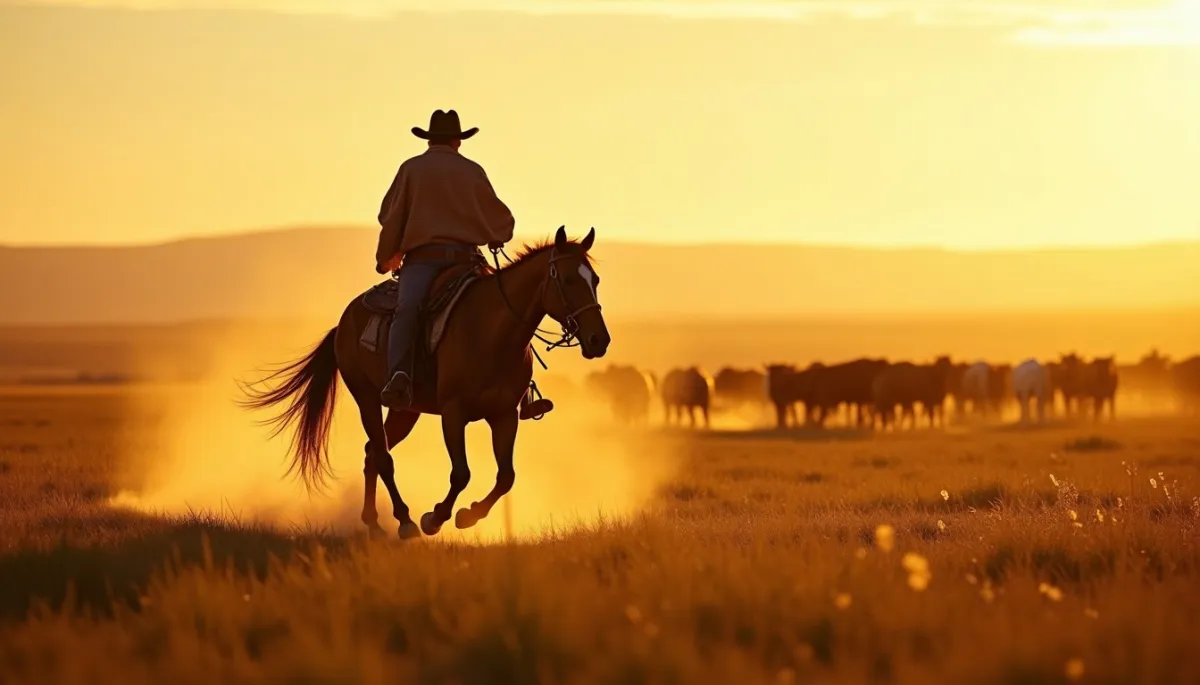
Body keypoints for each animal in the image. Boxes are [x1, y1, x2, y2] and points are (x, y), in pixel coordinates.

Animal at [239, 227, 610, 539]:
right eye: (567, 279)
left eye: (595, 279)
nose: (599, 340)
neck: (491, 330)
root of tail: (343, 323)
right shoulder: (453, 412)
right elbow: (461, 472)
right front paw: (436, 517)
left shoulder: (504, 415)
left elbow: (506, 476)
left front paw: (469, 515)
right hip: (367, 398)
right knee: (383, 456)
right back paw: (404, 521)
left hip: (406, 411)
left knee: (373, 452)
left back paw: (375, 523)